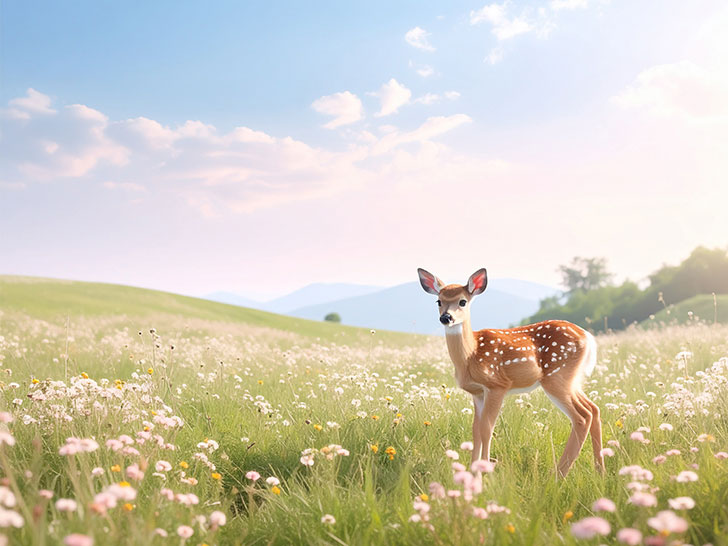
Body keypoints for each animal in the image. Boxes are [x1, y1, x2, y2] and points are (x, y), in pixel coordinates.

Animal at [417, 267, 604, 477]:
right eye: (438, 301)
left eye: (462, 301)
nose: (446, 317)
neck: (471, 355)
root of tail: (588, 338)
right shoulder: (477, 393)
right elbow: (475, 429)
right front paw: (473, 471)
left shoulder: (497, 385)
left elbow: (486, 428)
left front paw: (485, 472)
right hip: (571, 379)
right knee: (594, 409)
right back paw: (600, 471)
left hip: (556, 377)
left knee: (582, 417)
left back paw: (558, 475)